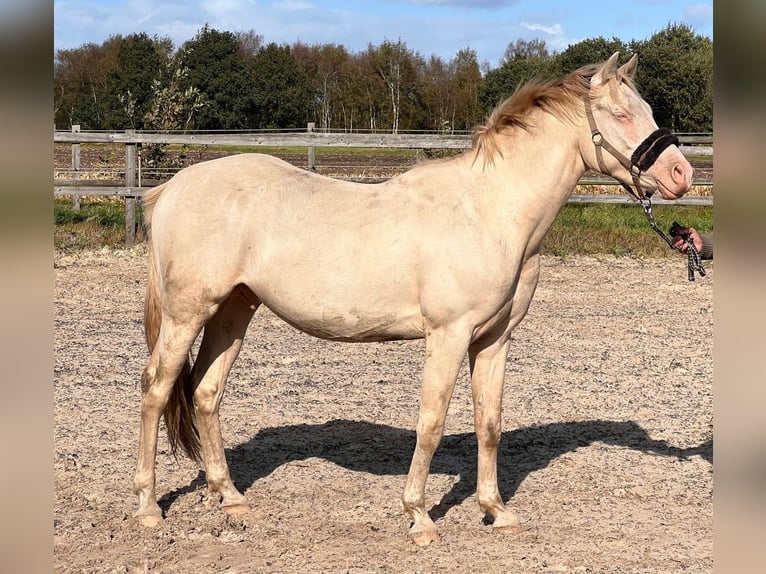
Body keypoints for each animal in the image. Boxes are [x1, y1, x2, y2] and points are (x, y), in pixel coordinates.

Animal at [134, 55, 696, 548]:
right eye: (620, 114)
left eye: (647, 109)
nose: (681, 175)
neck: (488, 210)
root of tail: (172, 189)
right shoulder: (448, 336)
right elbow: (431, 423)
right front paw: (420, 517)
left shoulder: (494, 341)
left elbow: (489, 424)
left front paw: (495, 511)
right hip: (188, 315)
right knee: (157, 391)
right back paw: (147, 508)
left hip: (233, 310)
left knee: (205, 393)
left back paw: (230, 497)